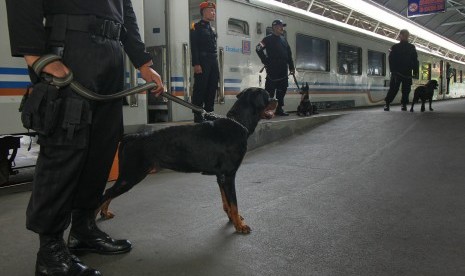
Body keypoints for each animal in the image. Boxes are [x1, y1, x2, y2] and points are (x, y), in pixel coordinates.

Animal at [98, 87, 276, 234]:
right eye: (267, 95)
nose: (276, 99)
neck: (238, 123)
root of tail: (131, 137)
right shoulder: (229, 175)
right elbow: (234, 203)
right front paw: (240, 225)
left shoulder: (221, 177)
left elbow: (226, 202)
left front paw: (233, 218)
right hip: (131, 175)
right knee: (106, 193)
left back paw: (104, 213)